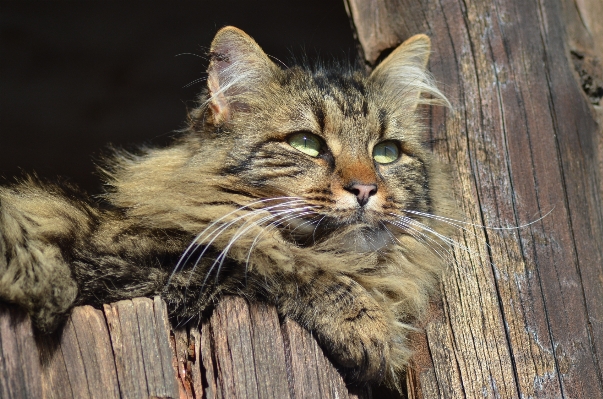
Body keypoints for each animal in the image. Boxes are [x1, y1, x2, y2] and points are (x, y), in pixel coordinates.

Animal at [0, 27, 452, 388]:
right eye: (306, 143)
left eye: (386, 152)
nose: (364, 188)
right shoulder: (140, 269)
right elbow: (277, 265)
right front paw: (373, 333)